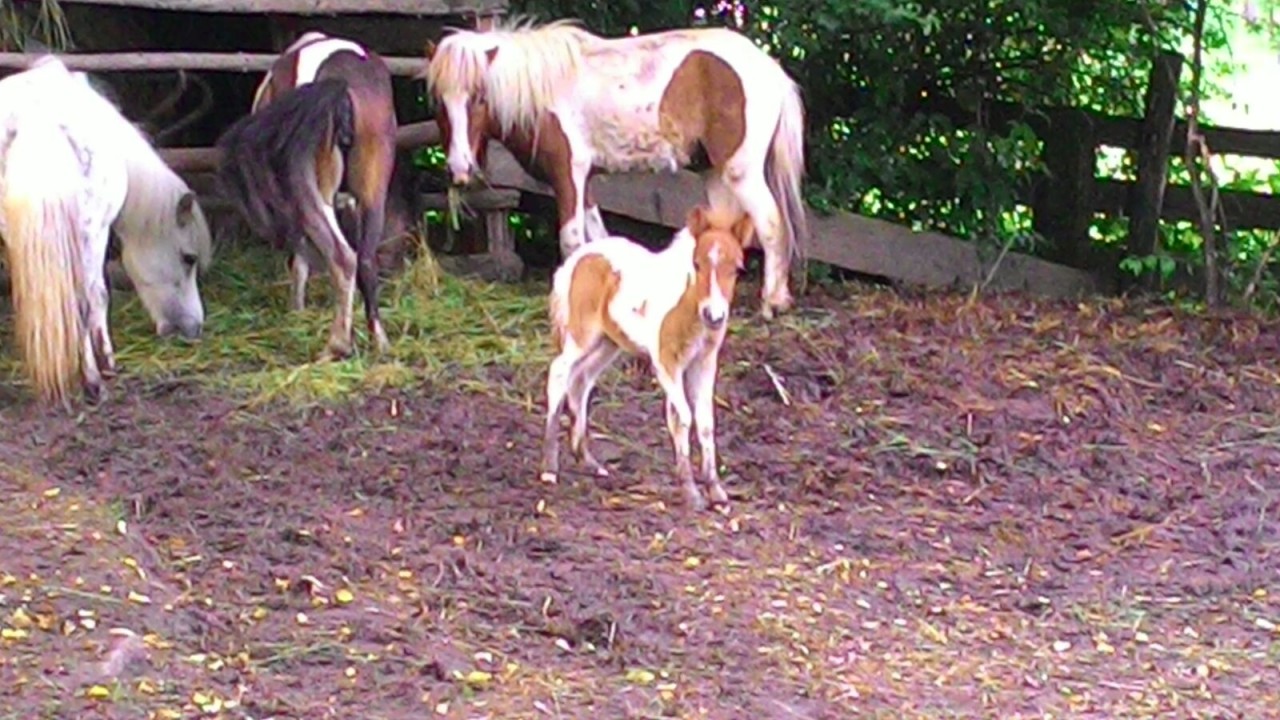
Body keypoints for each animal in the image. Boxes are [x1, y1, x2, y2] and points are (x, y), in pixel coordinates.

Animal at [0, 56, 212, 404]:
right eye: (188, 258)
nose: (193, 328)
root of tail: (36, 120)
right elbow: (97, 296)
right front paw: (107, 363)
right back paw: (93, 382)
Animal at [215, 33, 396, 358]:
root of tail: (340, 82)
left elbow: (298, 256)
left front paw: (296, 310)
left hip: (309, 188)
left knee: (342, 257)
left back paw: (337, 344)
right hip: (373, 189)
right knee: (364, 259)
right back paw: (379, 341)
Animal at [424, 16, 808, 317]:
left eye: (478, 97)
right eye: (439, 102)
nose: (459, 168)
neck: (544, 92)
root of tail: (771, 67)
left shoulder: (568, 175)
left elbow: (571, 242)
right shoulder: (585, 184)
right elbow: (599, 242)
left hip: (740, 171)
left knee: (771, 224)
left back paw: (773, 302)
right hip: (714, 174)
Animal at [537, 198, 747, 507]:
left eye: (737, 269)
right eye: (696, 264)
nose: (715, 315)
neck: (688, 308)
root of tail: (577, 258)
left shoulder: (704, 363)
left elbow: (705, 422)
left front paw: (715, 491)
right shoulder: (666, 363)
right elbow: (683, 417)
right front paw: (691, 492)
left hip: (607, 343)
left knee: (581, 381)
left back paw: (589, 462)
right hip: (582, 336)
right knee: (560, 372)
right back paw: (550, 469)